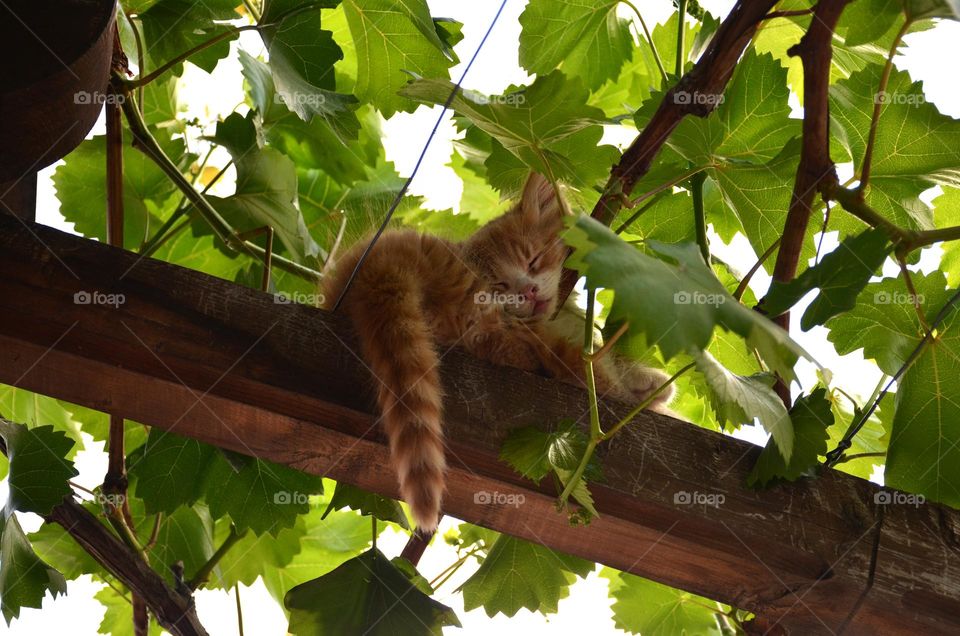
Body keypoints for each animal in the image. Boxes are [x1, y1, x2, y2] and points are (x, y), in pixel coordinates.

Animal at [326, 174, 672, 532]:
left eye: (533, 260)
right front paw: (637, 392)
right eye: (502, 286)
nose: (529, 292)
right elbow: (591, 369)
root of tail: (374, 266)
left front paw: (645, 382)